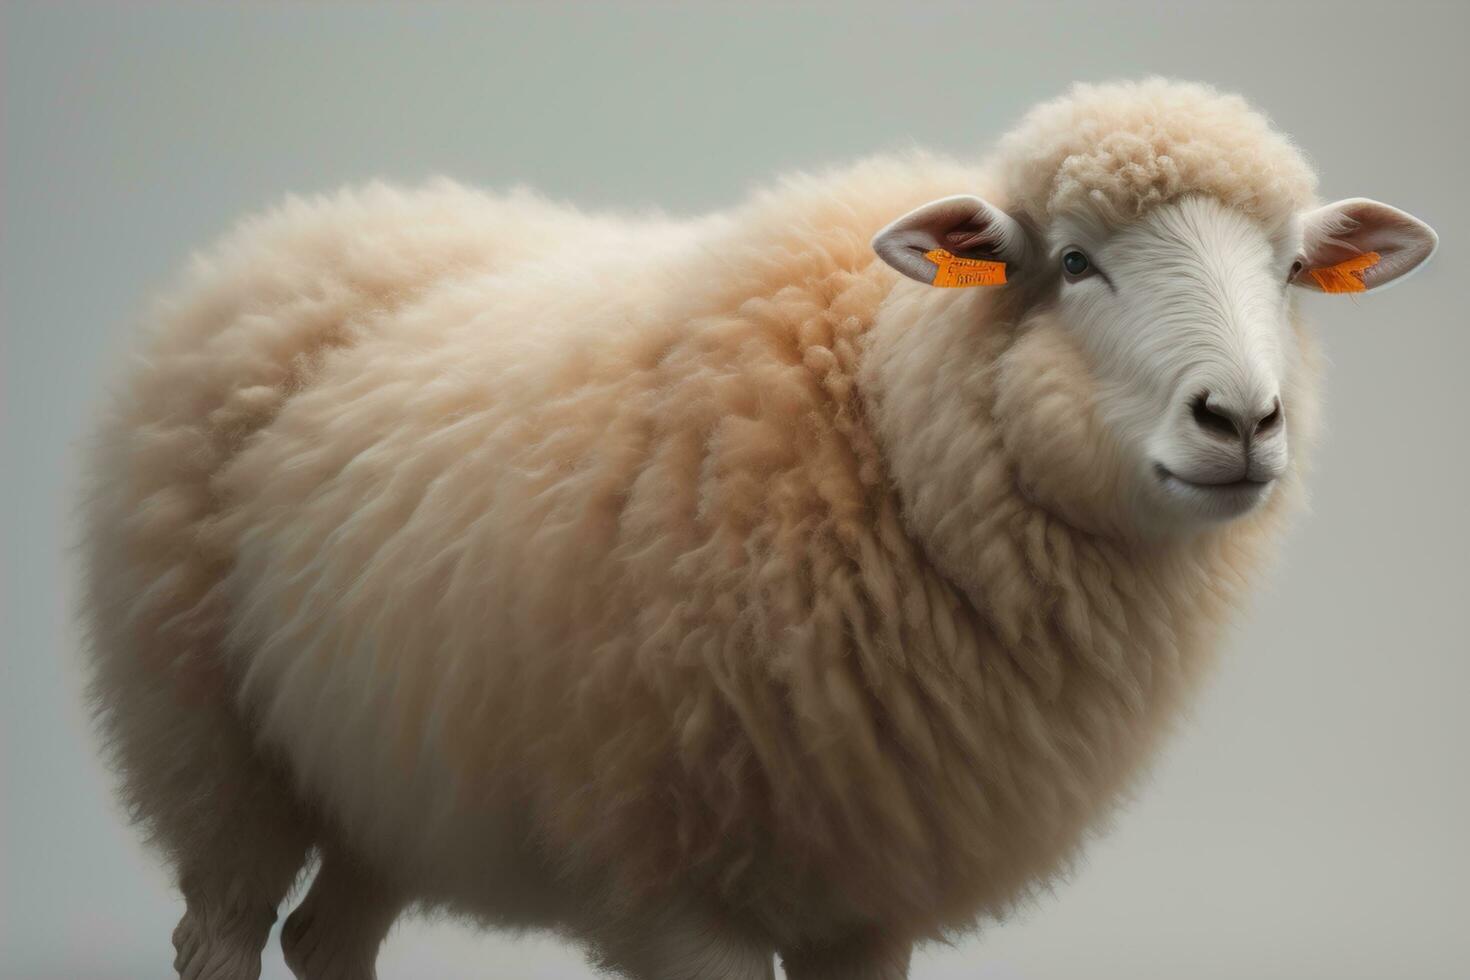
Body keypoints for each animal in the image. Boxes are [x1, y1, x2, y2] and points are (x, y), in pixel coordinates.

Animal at [80, 78, 1434, 980]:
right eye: (1074, 263)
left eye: (1290, 269)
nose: (1242, 419)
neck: (886, 427)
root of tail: (296, 228)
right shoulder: (679, 884)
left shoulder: (867, 893)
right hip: (211, 746)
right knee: (224, 928)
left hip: (380, 768)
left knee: (326, 938)